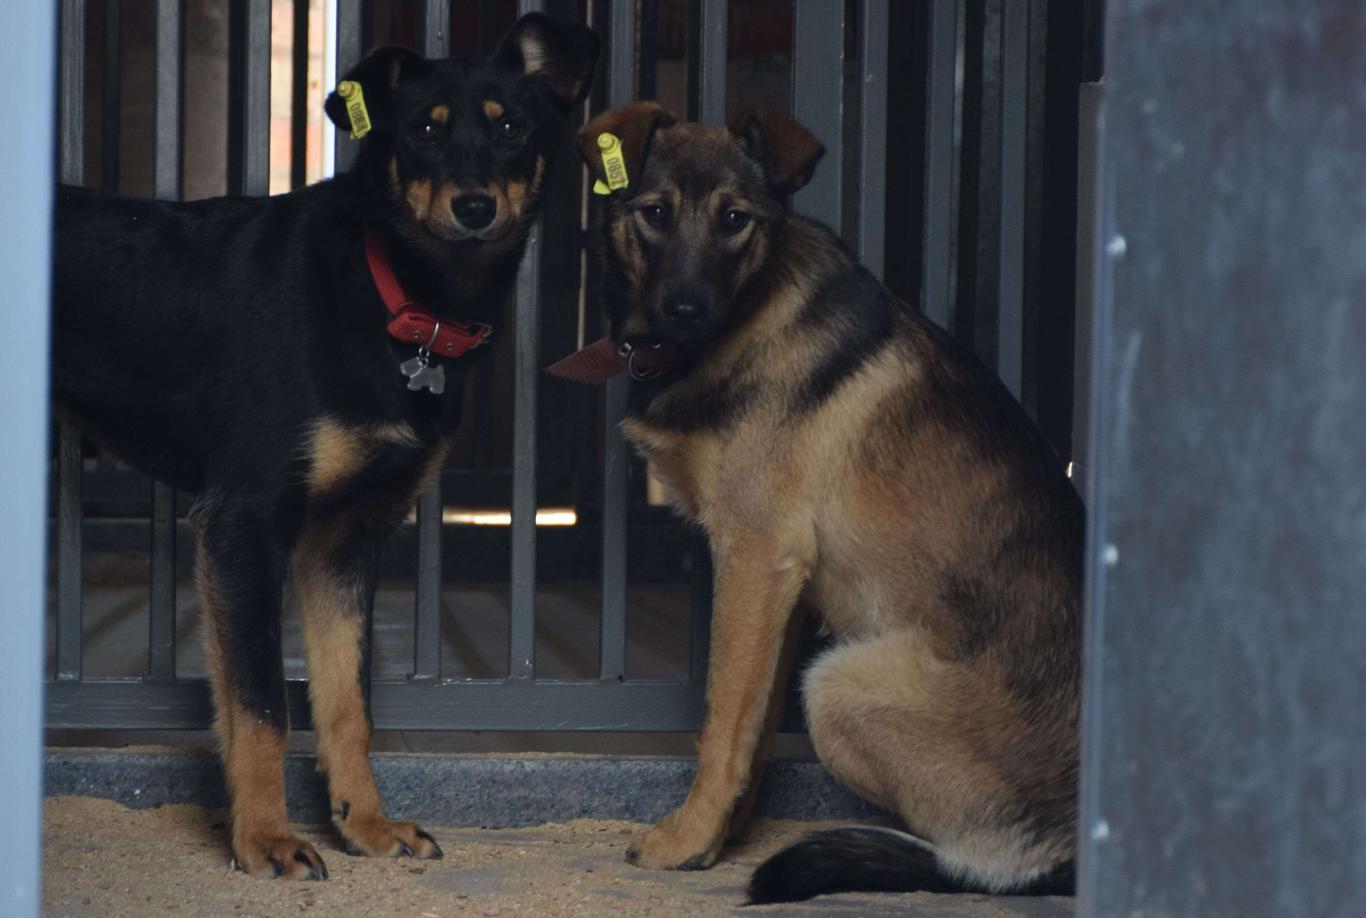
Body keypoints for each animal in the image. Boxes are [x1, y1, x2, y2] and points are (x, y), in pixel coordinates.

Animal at [53, 12, 598, 874]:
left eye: (512, 127)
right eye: (422, 132)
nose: (475, 206)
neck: (400, 299)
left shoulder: (344, 544)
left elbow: (345, 704)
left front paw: (364, 824)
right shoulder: (244, 526)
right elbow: (263, 706)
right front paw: (265, 838)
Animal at [551, 102, 1076, 901]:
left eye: (735, 219)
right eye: (654, 213)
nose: (685, 309)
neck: (746, 311)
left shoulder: (755, 555)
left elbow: (722, 723)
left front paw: (688, 840)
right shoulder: (781, 585)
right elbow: (755, 727)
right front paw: (724, 835)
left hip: (837, 686)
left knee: (977, 857)